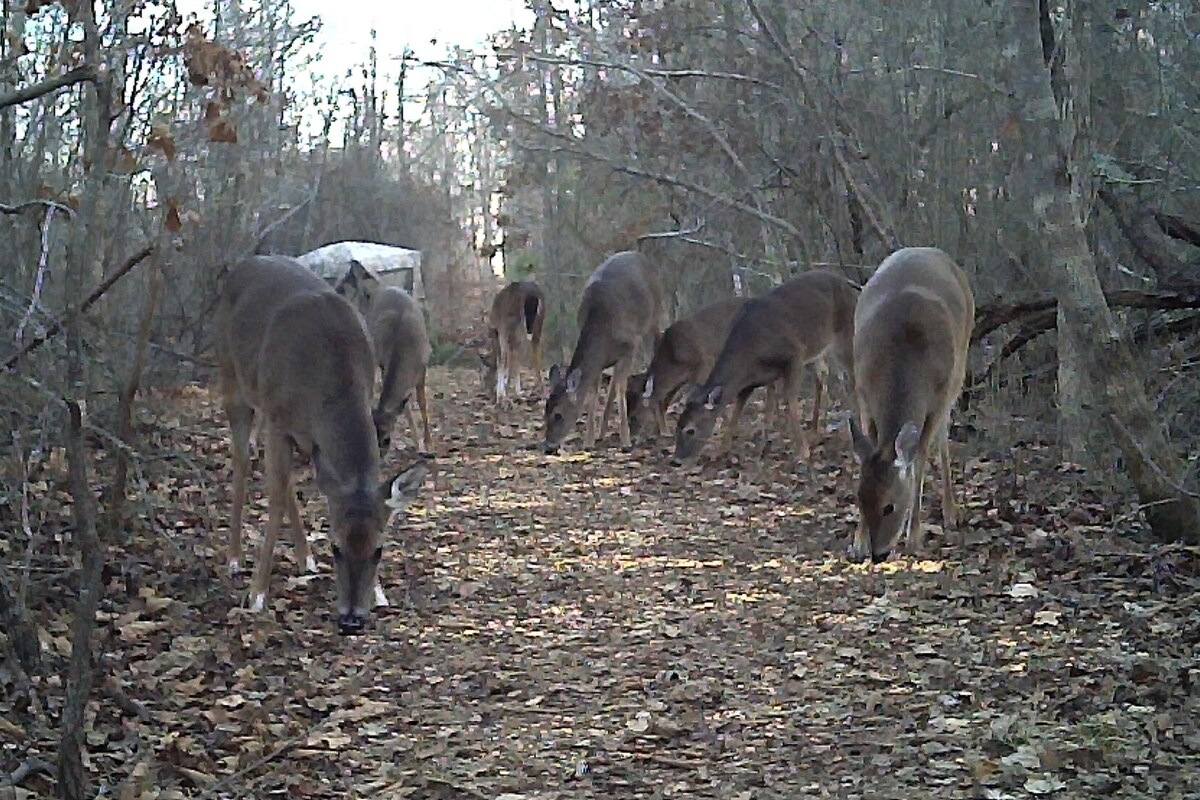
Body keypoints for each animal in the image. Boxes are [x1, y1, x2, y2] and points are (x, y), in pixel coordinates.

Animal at [336, 260, 434, 453]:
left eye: (387, 439)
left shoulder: (424, 364)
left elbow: (422, 402)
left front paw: (426, 443)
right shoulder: (382, 361)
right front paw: (418, 441)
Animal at [544, 250, 667, 453]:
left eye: (558, 415)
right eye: (544, 411)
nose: (548, 445)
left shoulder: (629, 346)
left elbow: (621, 388)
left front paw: (626, 441)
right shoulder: (598, 362)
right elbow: (595, 391)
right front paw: (589, 441)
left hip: (655, 315)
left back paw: (662, 427)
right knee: (613, 379)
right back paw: (602, 432)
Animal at [672, 272, 859, 465]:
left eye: (690, 430)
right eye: (677, 426)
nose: (677, 459)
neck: (749, 354)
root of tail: (848, 283)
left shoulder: (794, 354)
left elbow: (789, 402)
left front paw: (802, 451)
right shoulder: (757, 379)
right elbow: (749, 409)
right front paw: (730, 449)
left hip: (846, 335)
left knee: (852, 377)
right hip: (817, 349)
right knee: (822, 375)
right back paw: (814, 433)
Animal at [849, 245, 979, 563]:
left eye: (890, 506)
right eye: (859, 499)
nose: (879, 553)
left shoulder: (938, 396)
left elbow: (919, 457)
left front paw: (914, 537)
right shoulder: (863, 391)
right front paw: (857, 542)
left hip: (960, 366)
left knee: (944, 437)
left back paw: (950, 513)